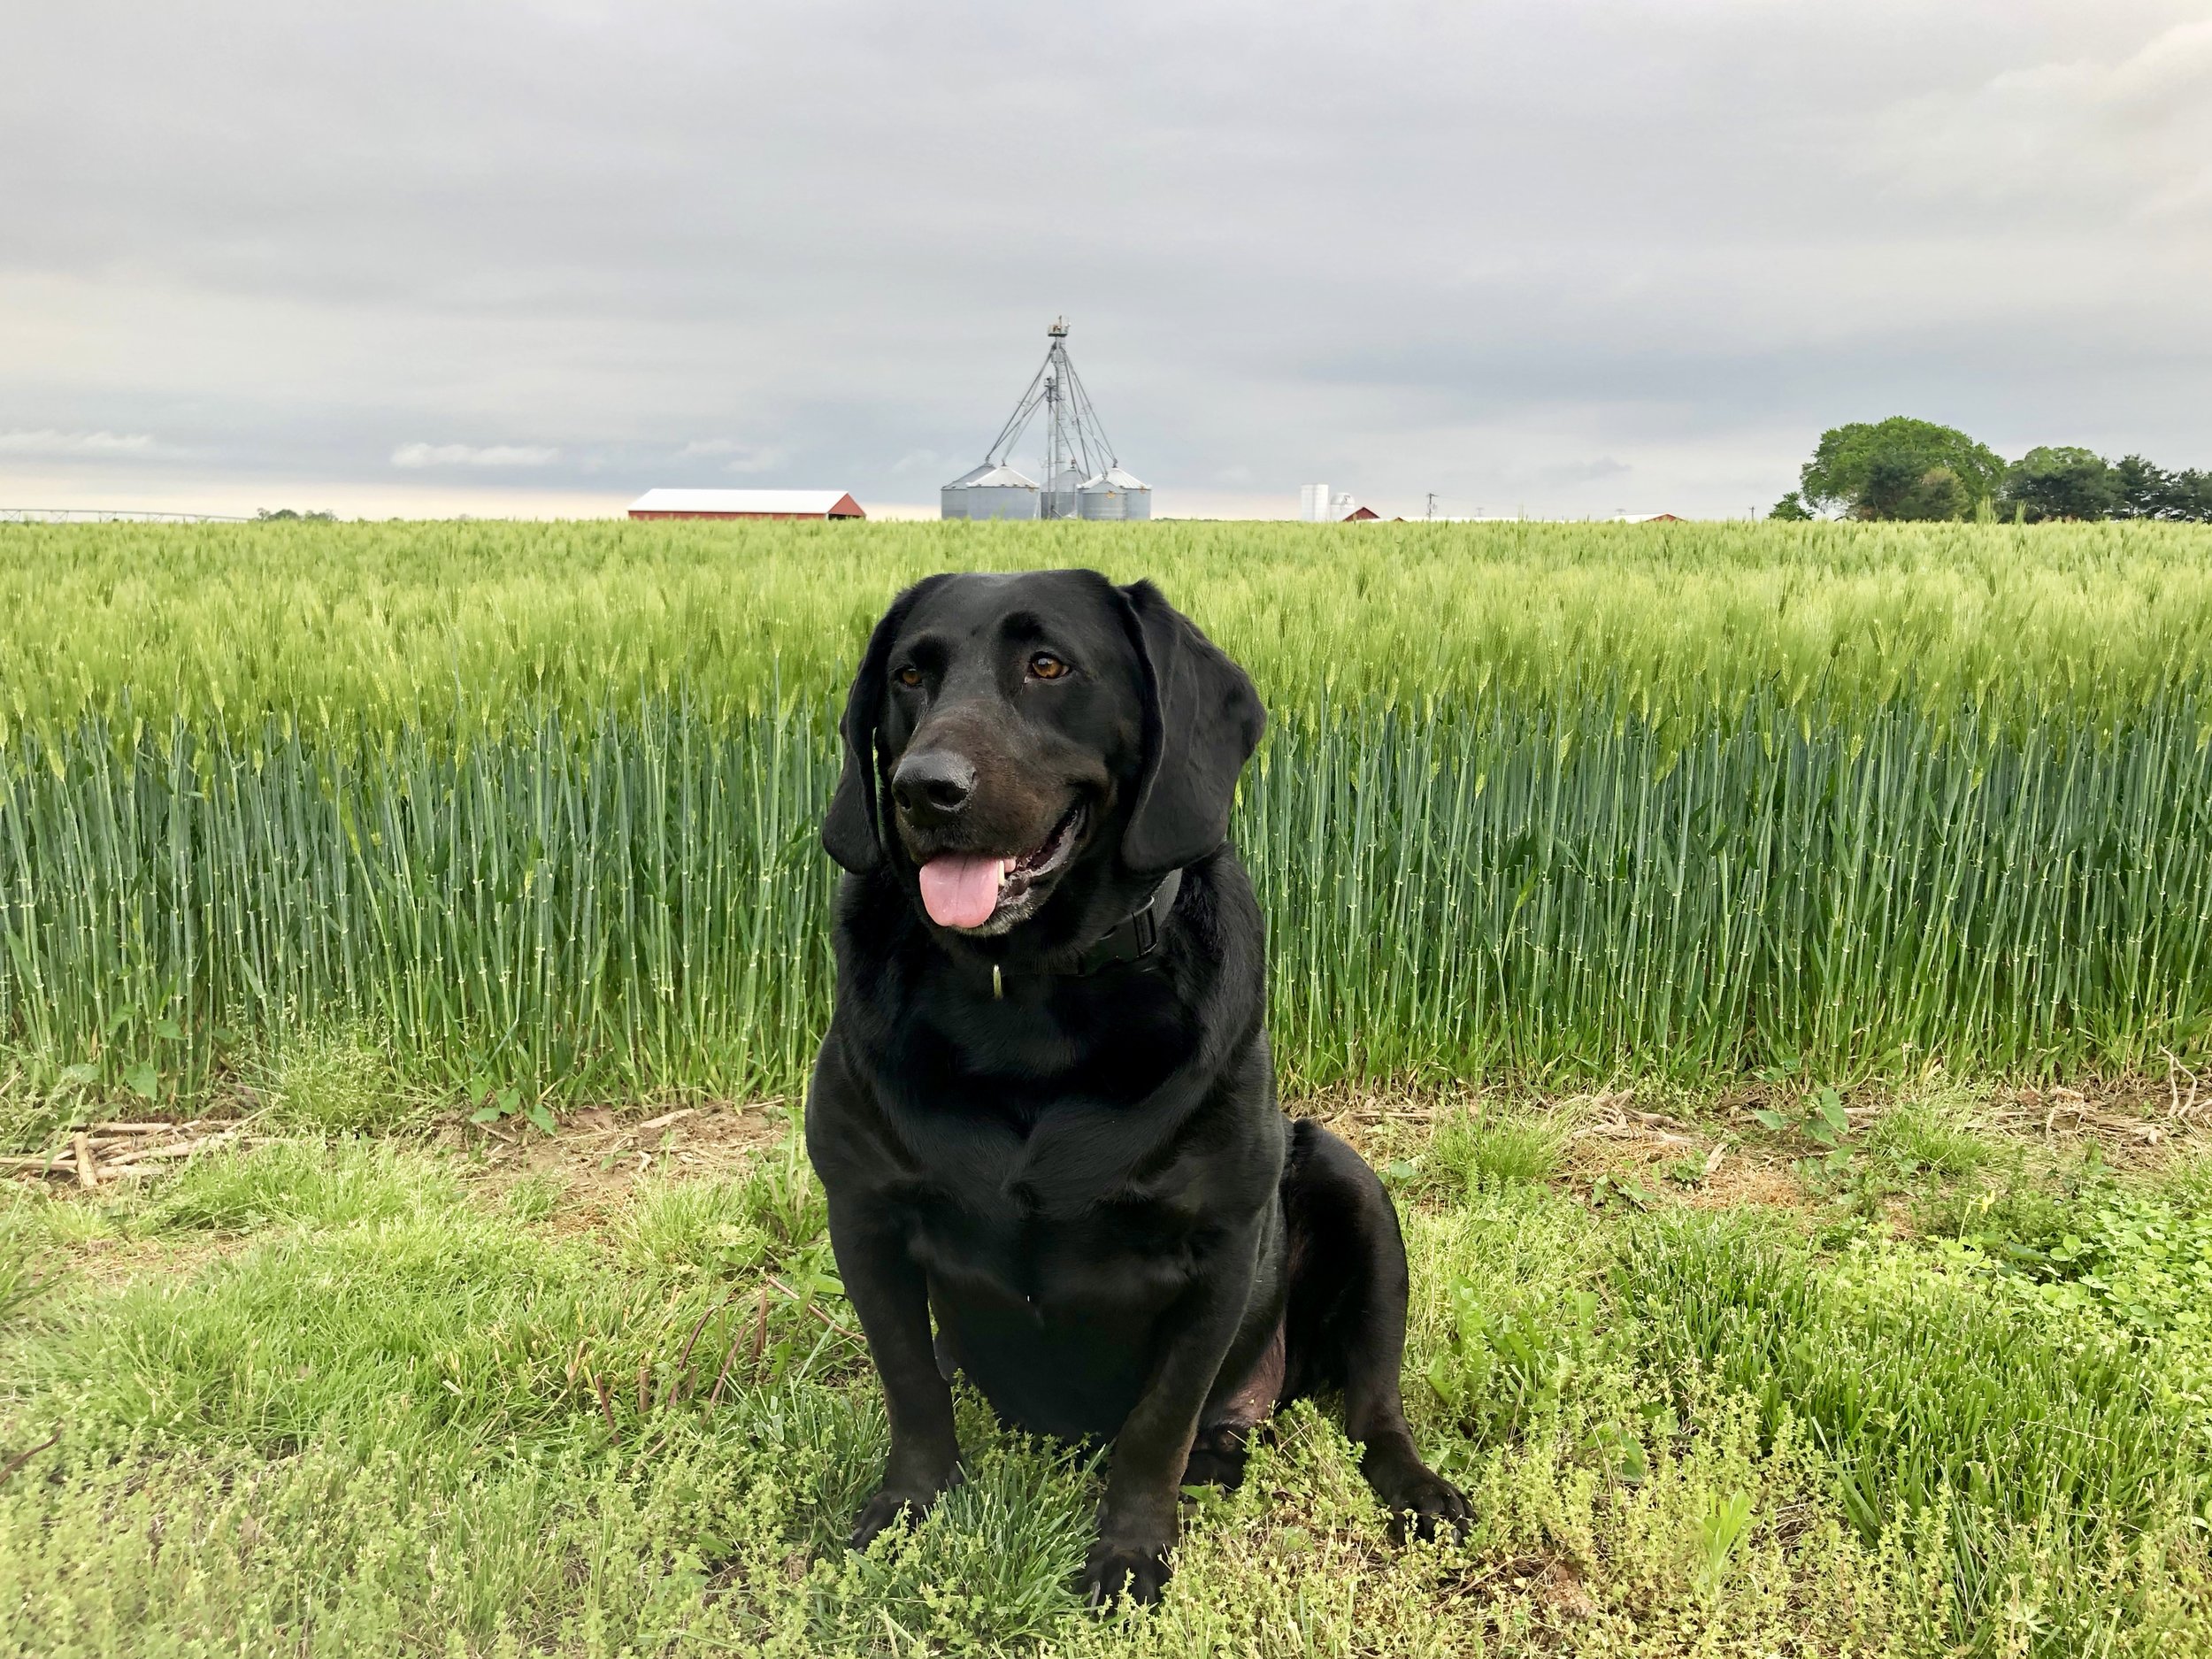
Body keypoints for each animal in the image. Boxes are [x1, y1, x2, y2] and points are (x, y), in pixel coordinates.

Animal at [805, 575, 1460, 1610]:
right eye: (910, 674)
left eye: (1048, 666)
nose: (923, 788)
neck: (1029, 997)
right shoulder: (863, 1214)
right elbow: (911, 1387)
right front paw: (906, 1511)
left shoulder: (1217, 1248)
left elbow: (1156, 1426)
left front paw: (1130, 1552)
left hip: (1350, 1186)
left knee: (1371, 1408)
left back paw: (1414, 1489)